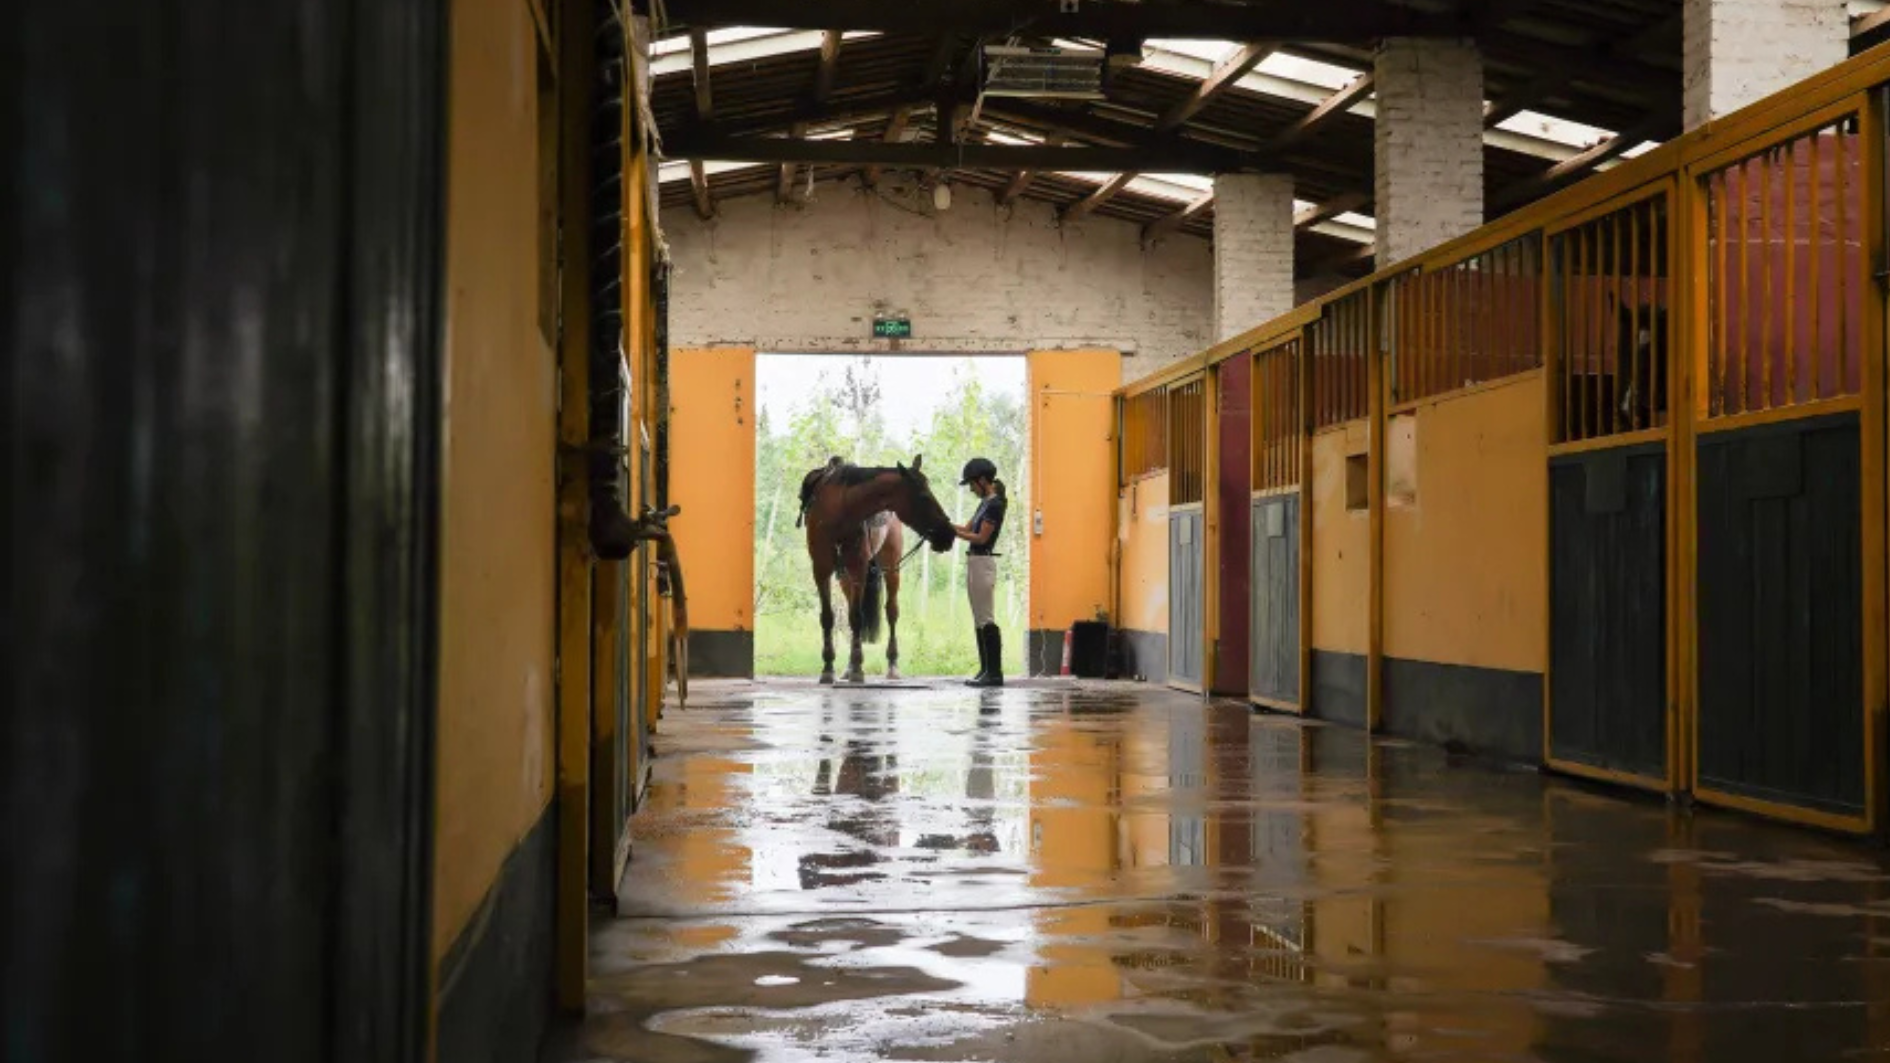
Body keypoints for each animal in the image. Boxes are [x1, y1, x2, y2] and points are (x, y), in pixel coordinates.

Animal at [796, 455, 956, 684]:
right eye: (924, 496)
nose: (949, 534)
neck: (841, 508)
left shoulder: (859, 568)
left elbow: (857, 617)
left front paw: (858, 668)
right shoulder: (821, 569)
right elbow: (828, 617)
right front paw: (828, 667)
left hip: (891, 569)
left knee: (891, 612)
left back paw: (892, 664)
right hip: (845, 577)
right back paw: (848, 667)